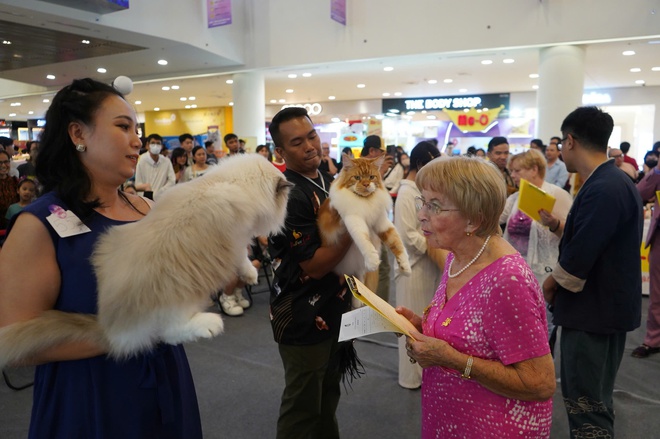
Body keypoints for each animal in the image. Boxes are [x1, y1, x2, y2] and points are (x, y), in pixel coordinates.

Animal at [0, 154, 292, 364]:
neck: (228, 182)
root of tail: (108, 326)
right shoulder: (236, 239)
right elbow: (243, 259)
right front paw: (251, 275)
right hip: (181, 299)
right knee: (170, 333)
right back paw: (211, 324)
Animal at [318, 155, 410, 284]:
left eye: (371, 177)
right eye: (357, 177)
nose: (366, 184)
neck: (365, 200)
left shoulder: (382, 222)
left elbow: (397, 242)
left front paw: (405, 266)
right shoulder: (354, 220)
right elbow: (363, 239)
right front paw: (372, 260)